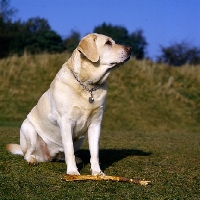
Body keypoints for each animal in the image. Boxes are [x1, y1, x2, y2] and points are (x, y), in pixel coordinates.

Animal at [6, 33, 131, 176]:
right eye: (108, 43)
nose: (130, 49)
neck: (88, 86)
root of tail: (50, 155)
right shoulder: (66, 122)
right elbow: (69, 150)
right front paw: (72, 172)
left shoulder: (95, 124)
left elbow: (94, 152)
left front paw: (97, 172)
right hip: (28, 129)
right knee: (27, 154)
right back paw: (32, 159)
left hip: (80, 139)